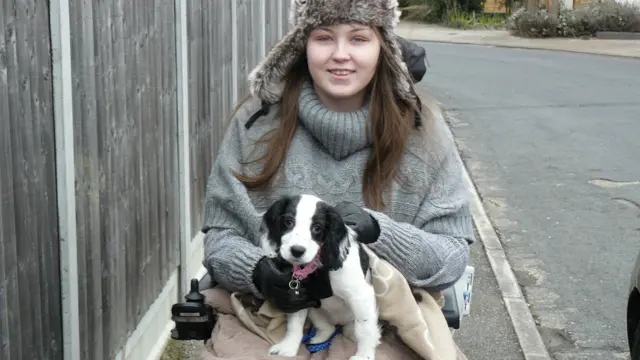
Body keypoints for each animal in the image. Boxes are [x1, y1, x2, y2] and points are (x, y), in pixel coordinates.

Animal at [258, 195, 380, 358]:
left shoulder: (360, 296)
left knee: (354, 330)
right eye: (289, 222)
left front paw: (364, 356)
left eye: (317, 228)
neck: (317, 267)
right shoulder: (299, 296)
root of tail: (338, 322)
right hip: (315, 310)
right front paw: (288, 347)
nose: (297, 251)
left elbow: (364, 330)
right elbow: (294, 324)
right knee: (327, 328)